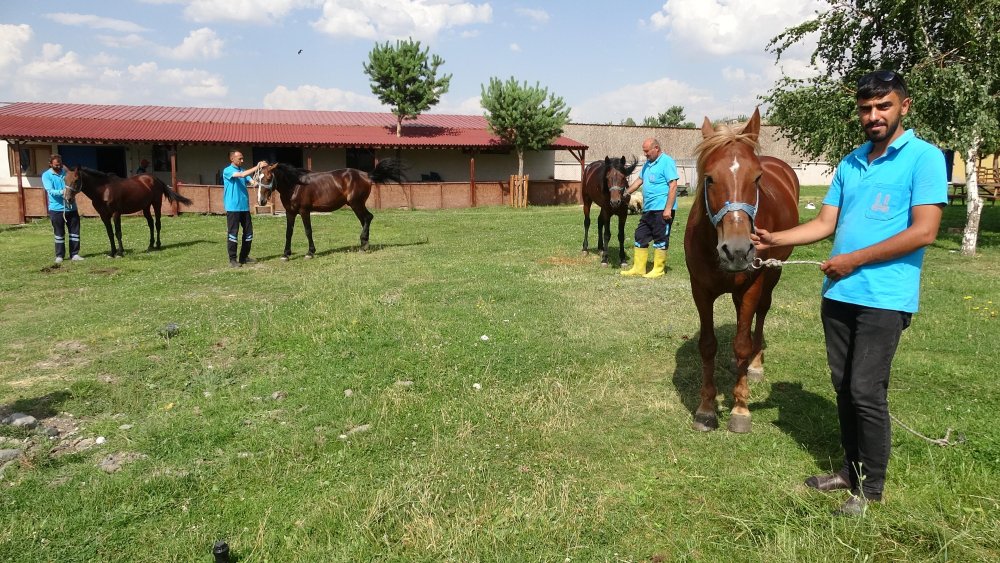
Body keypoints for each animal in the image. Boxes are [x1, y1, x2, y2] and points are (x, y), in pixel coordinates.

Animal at [65, 166, 195, 256]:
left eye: (76, 180)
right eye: (64, 180)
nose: (68, 198)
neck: (104, 190)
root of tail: (155, 178)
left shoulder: (116, 214)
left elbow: (118, 232)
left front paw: (120, 252)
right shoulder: (104, 216)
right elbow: (110, 233)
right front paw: (112, 252)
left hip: (156, 204)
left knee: (157, 224)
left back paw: (158, 245)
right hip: (145, 207)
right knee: (151, 224)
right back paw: (150, 245)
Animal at [256, 156, 404, 258]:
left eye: (269, 178)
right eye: (258, 178)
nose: (261, 201)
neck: (295, 185)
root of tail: (366, 175)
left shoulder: (304, 211)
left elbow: (308, 231)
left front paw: (310, 252)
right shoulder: (290, 212)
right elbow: (288, 232)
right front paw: (286, 254)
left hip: (356, 204)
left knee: (368, 218)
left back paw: (363, 245)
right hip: (356, 205)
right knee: (365, 220)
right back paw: (365, 244)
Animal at [684, 111, 800, 436]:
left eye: (757, 178)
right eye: (709, 178)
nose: (737, 251)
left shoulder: (752, 286)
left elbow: (742, 344)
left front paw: (740, 409)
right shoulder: (700, 290)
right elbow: (707, 346)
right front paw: (706, 409)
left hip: (771, 275)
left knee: (760, 315)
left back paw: (755, 365)